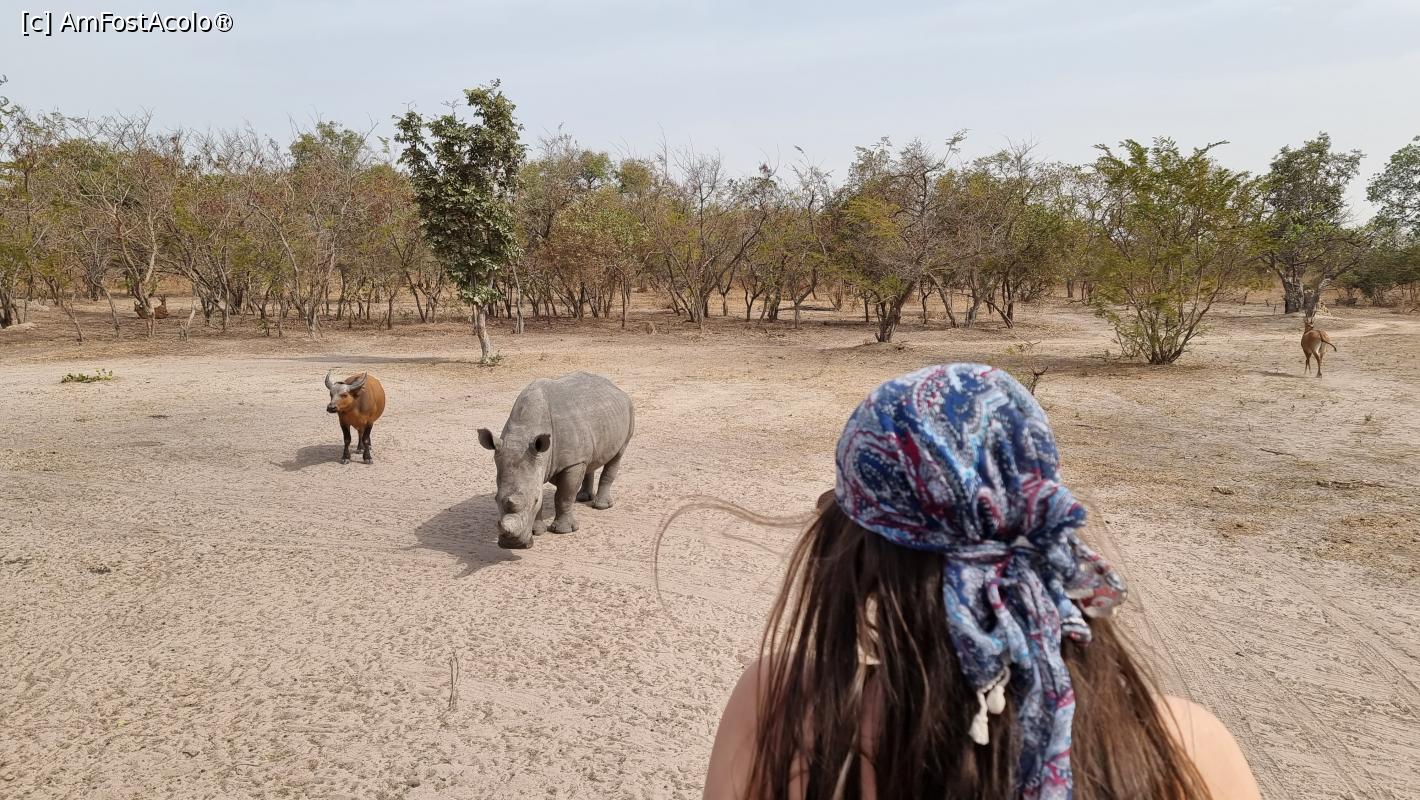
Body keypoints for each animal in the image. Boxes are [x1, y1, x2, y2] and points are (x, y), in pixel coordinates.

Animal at [478, 373, 634, 549]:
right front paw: (536, 532)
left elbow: (564, 496)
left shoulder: (571, 463)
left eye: (535, 500)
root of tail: (614, 386)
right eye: (495, 499)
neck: (524, 433)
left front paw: (563, 531)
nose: (512, 544)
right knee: (589, 460)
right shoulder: (537, 461)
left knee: (617, 455)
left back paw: (601, 506)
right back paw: (582, 498)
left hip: (629, 409)